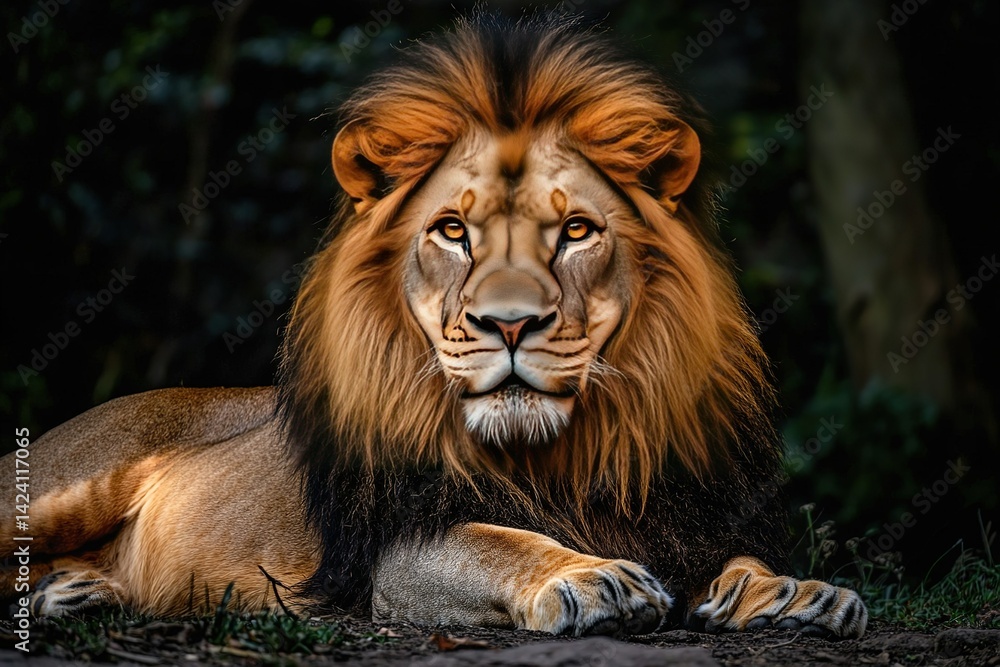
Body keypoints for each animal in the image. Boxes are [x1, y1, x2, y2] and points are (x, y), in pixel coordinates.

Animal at [1, 14, 866, 638]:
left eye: (576, 231)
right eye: (453, 231)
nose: (509, 325)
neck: (573, 448)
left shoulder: (688, 511)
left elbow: (742, 554)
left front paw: (798, 591)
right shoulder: (400, 547)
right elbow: (496, 539)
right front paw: (589, 575)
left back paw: (79, 591)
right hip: (62, 481)